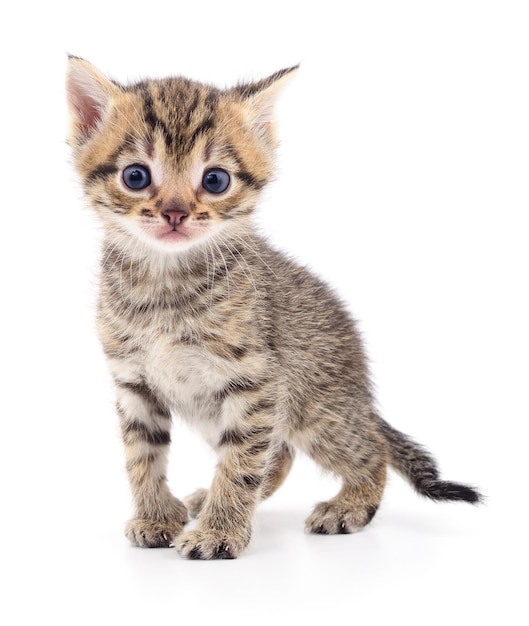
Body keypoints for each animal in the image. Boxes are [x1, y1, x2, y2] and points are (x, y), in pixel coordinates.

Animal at [64, 57, 480, 556]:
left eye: (215, 180)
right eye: (136, 176)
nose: (175, 213)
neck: (165, 283)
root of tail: (361, 391)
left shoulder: (254, 382)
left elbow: (242, 460)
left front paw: (221, 532)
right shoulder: (134, 381)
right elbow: (142, 455)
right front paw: (157, 516)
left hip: (316, 411)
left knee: (369, 450)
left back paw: (348, 506)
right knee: (278, 456)